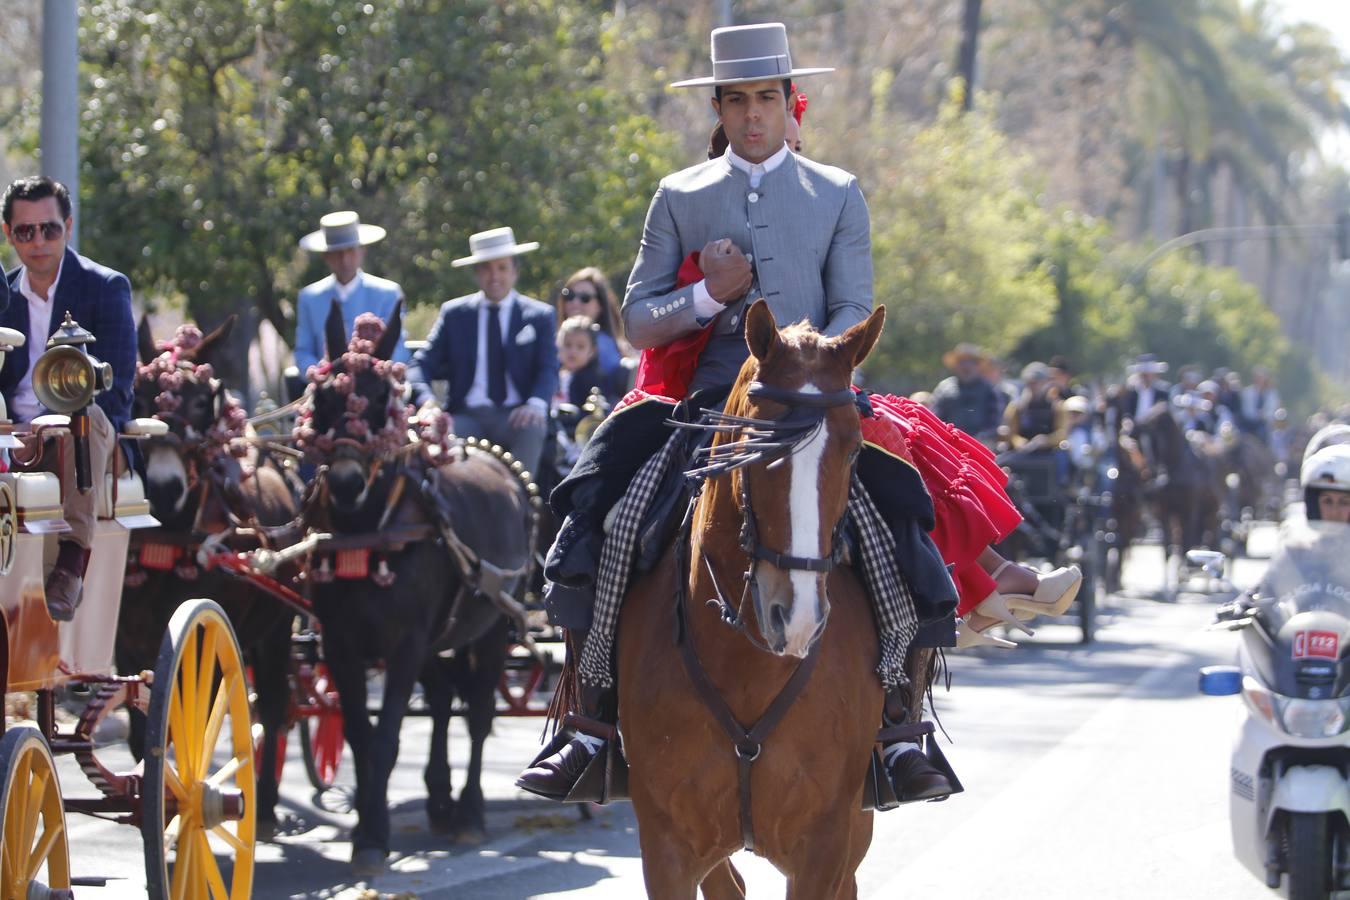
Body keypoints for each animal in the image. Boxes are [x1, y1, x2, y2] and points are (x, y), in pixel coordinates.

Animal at [615, 304, 885, 900]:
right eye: (754, 445)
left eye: (855, 449)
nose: (798, 619)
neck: (747, 667)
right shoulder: (665, 849)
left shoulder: (826, 846)